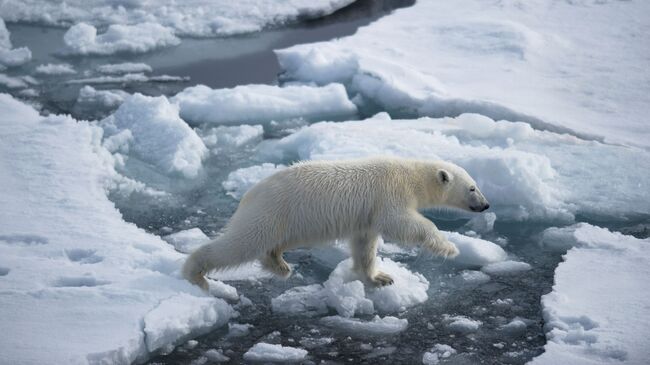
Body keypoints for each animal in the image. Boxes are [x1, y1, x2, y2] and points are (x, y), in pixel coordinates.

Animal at [181, 157, 486, 290]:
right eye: (472, 187)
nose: (485, 205)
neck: (410, 174)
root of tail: (249, 193)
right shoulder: (389, 194)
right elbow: (400, 222)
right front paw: (449, 248)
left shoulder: (367, 215)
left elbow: (365, 244)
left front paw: (379, 278)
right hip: (271, 211)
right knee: (242, 243)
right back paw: (196, 274)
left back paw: (281, 266)